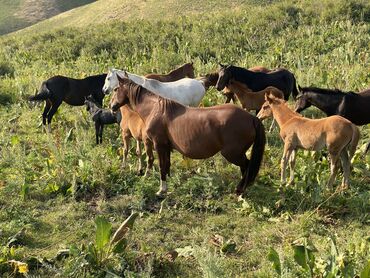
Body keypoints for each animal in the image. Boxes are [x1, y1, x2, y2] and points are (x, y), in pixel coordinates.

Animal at [110, 75, 266, 195]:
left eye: (116, 89)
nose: (112, 107)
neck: (155, 109)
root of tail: (252, 118)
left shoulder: (159, 145)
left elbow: (161, 165)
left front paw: (161, 189)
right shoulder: (166, 146)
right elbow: (167, 164)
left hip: (232, 153)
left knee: (247, 165)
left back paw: (240, 189)